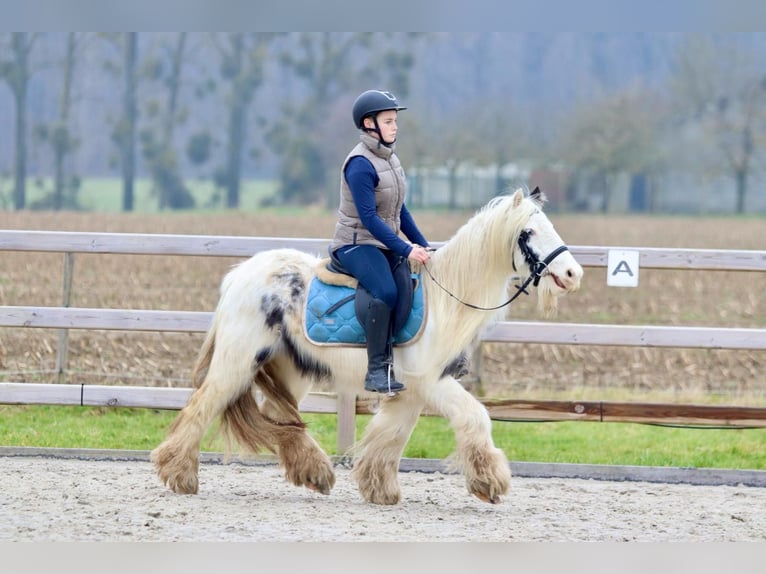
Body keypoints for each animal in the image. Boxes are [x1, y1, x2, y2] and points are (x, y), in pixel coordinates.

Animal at [153, 188, 584, 504]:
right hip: (238, 361)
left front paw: (380, 488)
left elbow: (390, 435)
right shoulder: (430, 381)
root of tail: (239, 275)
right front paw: (490, 481)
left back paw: (315, 472)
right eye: (528, 233)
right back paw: (178, 474)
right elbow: (474, 417)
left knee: (279, 417)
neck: (447, 299)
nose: (572, 273)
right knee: (203, 405)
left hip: (289, 370)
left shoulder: (410, 390)